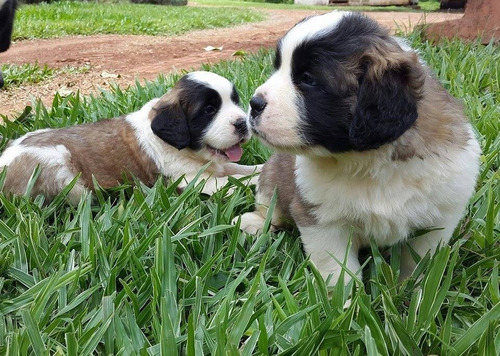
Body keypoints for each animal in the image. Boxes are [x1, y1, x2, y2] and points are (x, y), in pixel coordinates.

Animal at [1, 71, 262, 203]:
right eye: (209, 110)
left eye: (235, 101)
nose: (243, 123)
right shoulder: (190, 181)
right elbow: (234, 181)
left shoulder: (219, 166)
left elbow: (243, 170)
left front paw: (261, 169)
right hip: (59, 162)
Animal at [236, 11, 482, 284]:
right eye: (278, 67)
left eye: (308, 79)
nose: (254, 103)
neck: (368, 161)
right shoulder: (323, 222)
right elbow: (336, 268)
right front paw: (340, 295)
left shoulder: (439, 218)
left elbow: (418, 261)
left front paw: (410, 288)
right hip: (272, 180)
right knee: (271, 208)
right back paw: (254, 222)